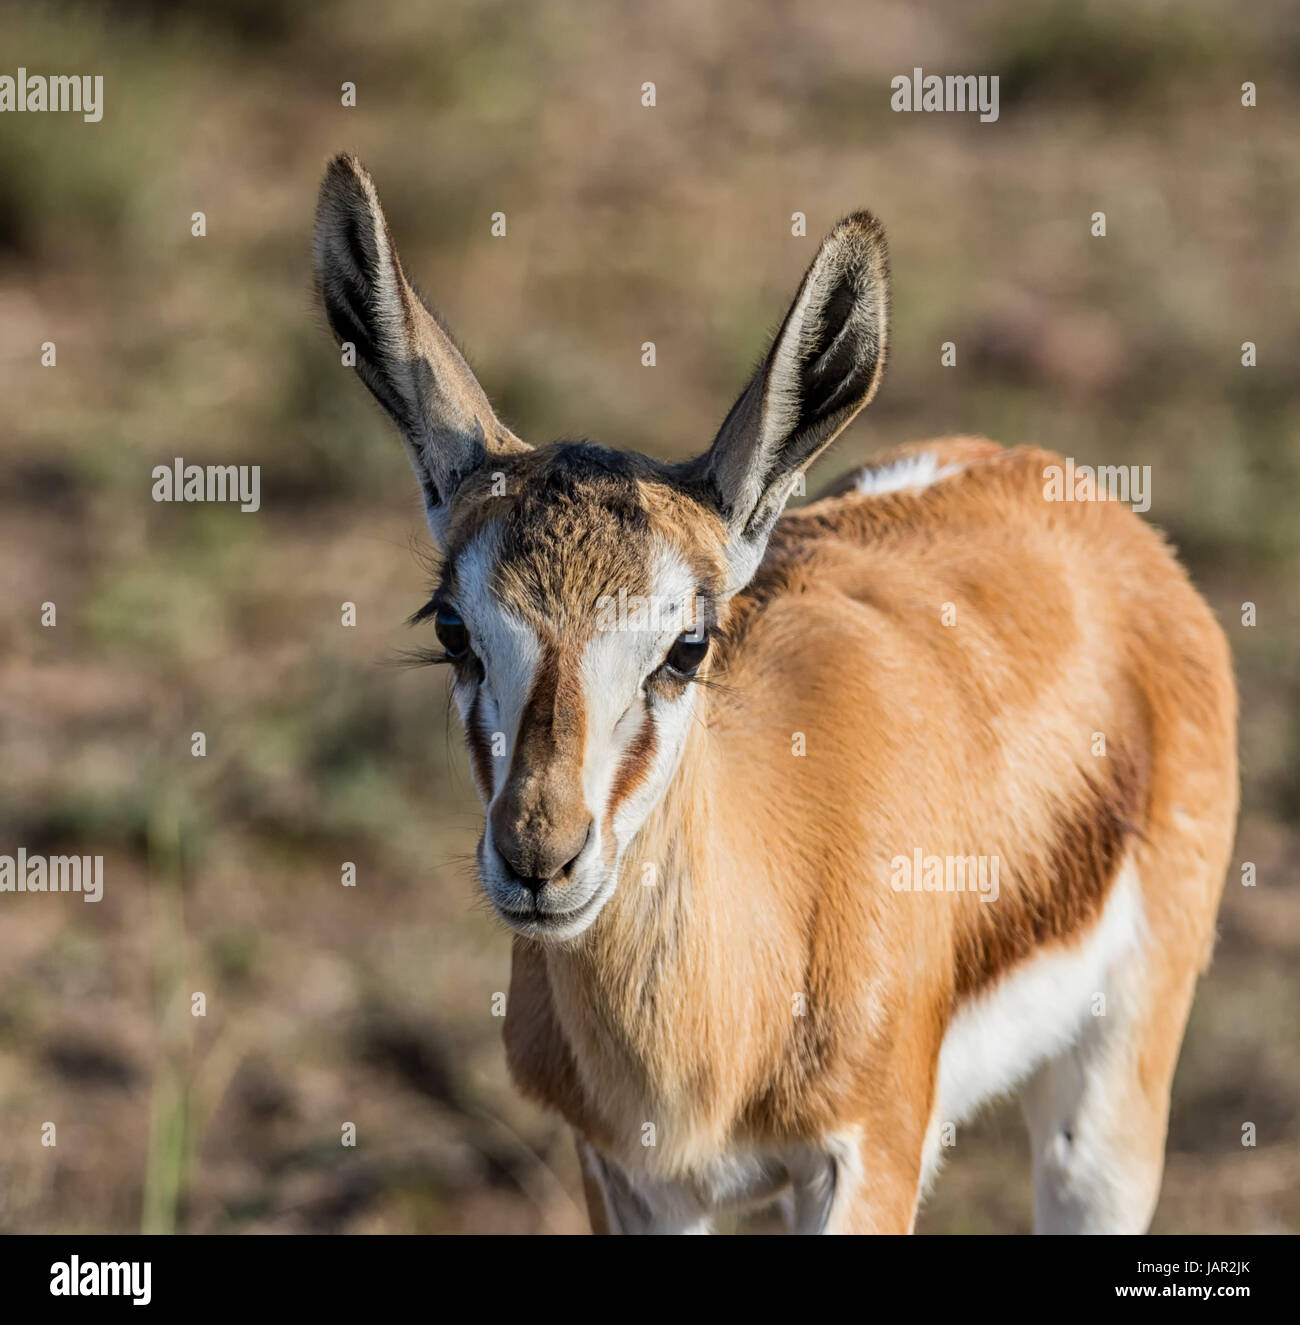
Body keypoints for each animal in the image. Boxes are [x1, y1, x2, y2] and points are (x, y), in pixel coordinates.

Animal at [313, 154, 1238, 1234]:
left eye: (687, 642)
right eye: (452, 629)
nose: (540, 857)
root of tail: (1054, 481)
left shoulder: (866, 1154)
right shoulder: (628, 1177)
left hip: (1108, 1108)